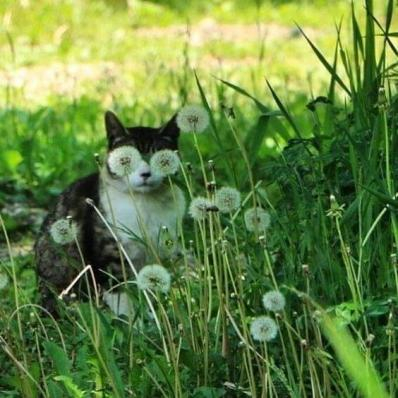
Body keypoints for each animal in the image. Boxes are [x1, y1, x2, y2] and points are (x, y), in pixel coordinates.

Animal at [34, 111, 185, 314]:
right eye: (126, 160)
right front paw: (130, 320)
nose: (145, 174)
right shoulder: (109, 256)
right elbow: (120, 294)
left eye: (161, 159)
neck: (144, 204)